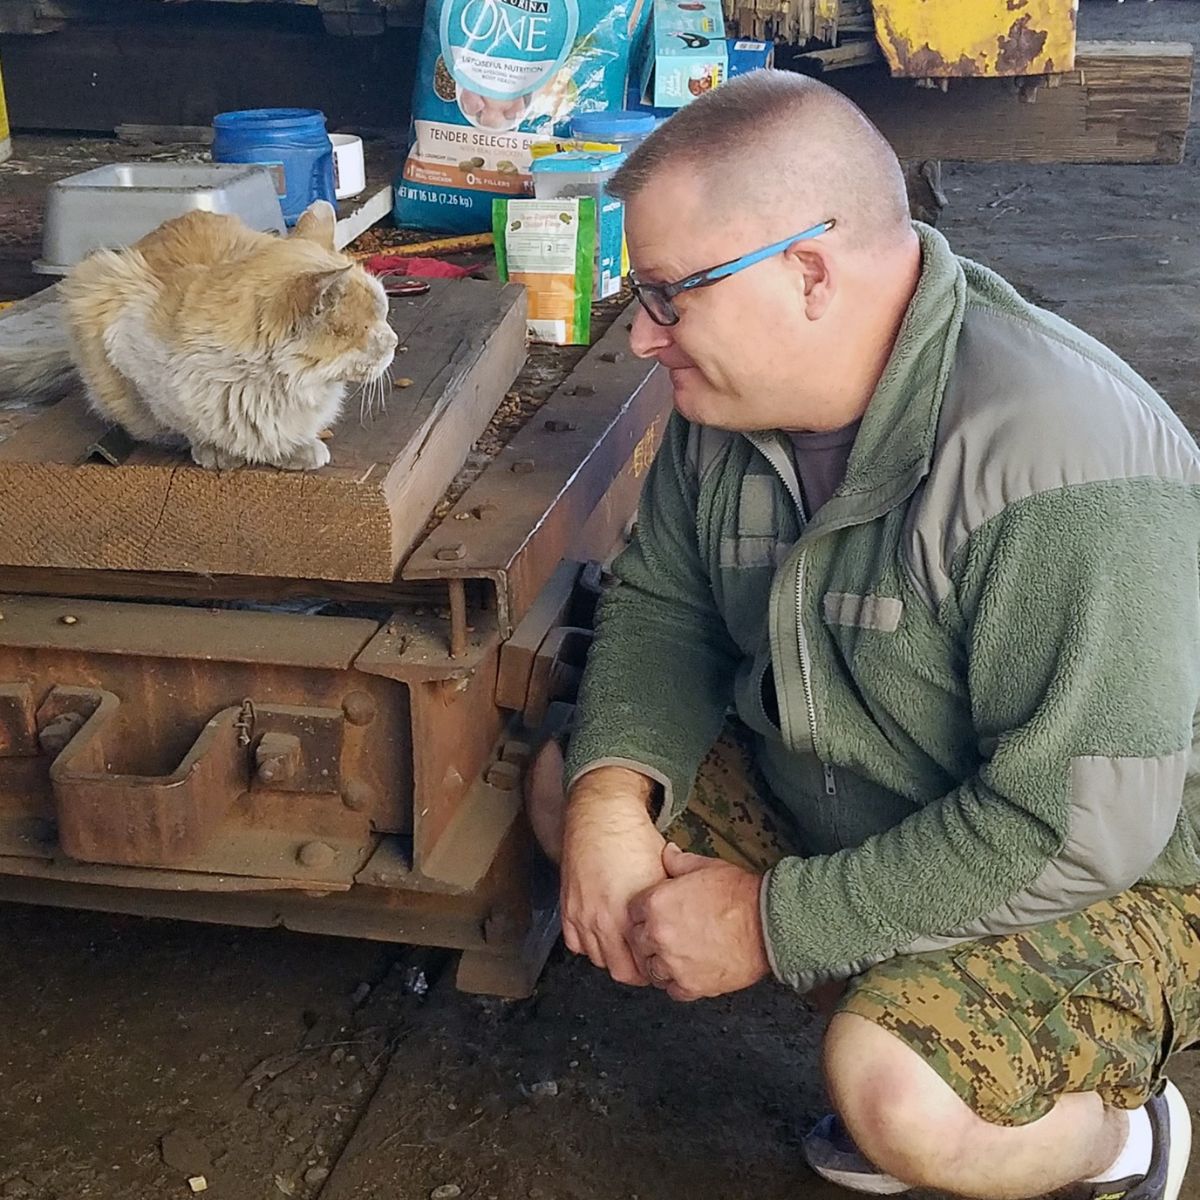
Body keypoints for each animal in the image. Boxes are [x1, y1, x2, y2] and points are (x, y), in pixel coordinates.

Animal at [2, 201, 400, 468]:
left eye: (385, 312)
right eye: (370, 326)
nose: (395, 341)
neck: (272, 387)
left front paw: (296, 447)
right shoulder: (122, 340)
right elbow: (183, 420)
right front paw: (217, 450)